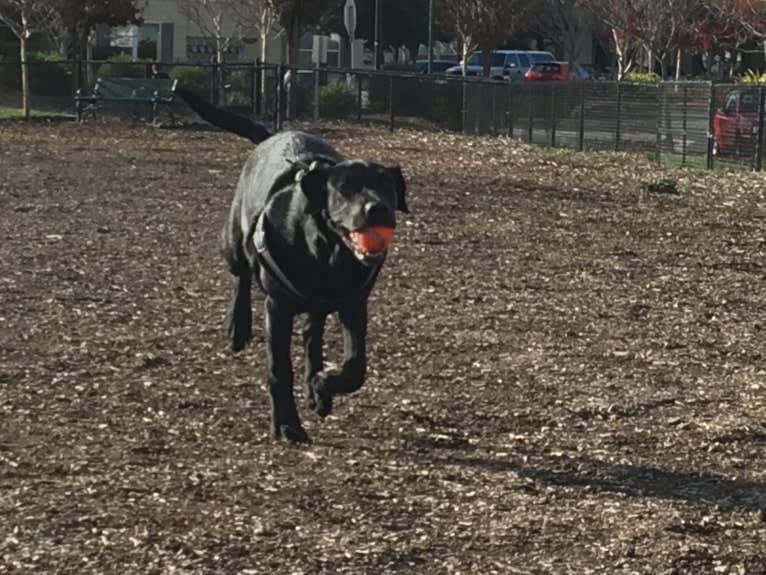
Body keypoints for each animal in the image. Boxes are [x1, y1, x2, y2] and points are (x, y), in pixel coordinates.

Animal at [179, 90, 412, 446]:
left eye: (386, 185)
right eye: (345, 187)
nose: (379, 209)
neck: (328, 256)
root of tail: (272, 136)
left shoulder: (354, 306)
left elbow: (355, 368)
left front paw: (322, 384)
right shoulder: (278, 307)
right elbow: (279, 369)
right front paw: (288, 424)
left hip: (316, 306)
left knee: (310, 338)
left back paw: (316, 389)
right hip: (233, 241)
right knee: (240, 275)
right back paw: (238, 326)